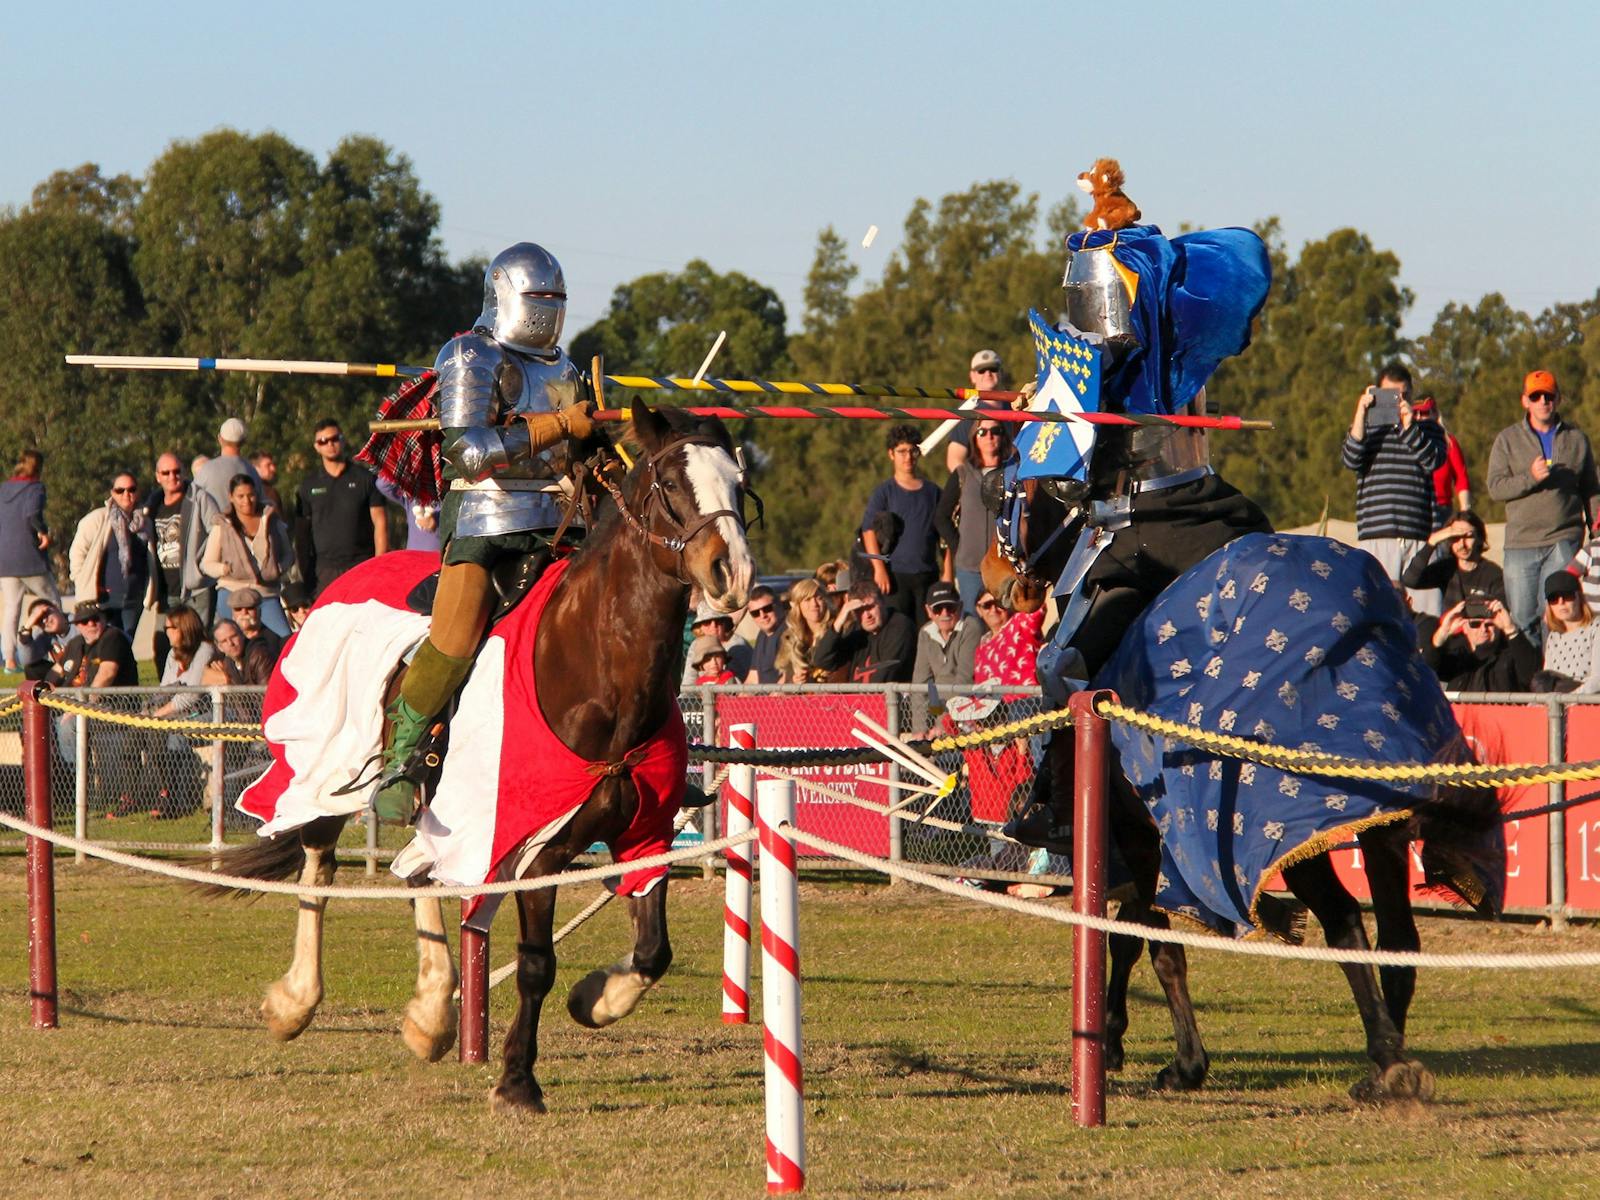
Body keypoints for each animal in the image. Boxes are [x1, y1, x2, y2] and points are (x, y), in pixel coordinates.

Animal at [206, 406, 755, 1120]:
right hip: (328, 767)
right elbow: (535, 963)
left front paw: (596, 999)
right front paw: (518, 1080)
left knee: (417, 870)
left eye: (738, 482)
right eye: (669, 483)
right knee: (318, 865)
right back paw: (297, 1001)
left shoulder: (644, 833)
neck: (594, 662)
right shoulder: (537, 847)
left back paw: (433, 1013)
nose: (731, 572)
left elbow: (653, 951)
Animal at [985, 483, 1497, 1107]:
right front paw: (1114, 1037)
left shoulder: (1139, 836)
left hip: (1289, 830)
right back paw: (1388, 1057)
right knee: (1398, 941)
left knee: (1345, 921)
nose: (995, 577)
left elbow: (1152, 944)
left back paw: (1387, 1060)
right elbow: (1131, 933)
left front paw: (1178, 1062)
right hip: (1382, 826)